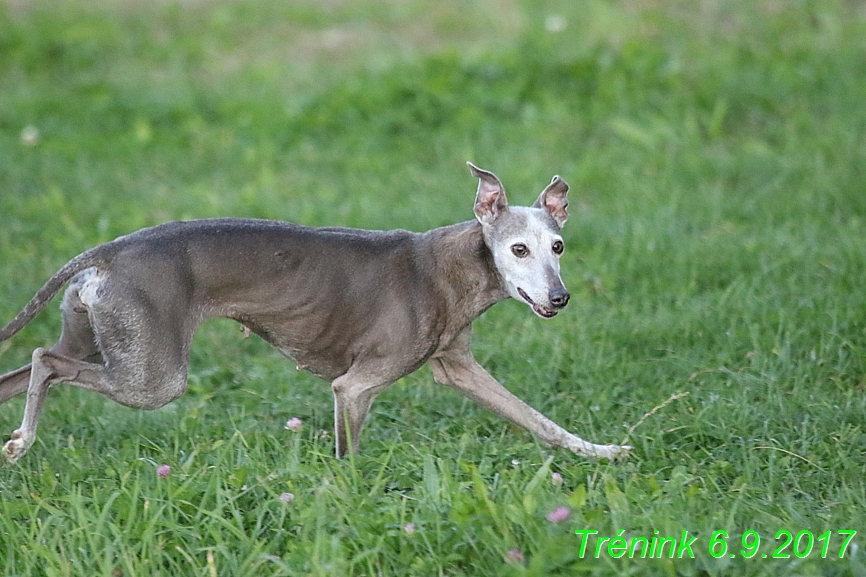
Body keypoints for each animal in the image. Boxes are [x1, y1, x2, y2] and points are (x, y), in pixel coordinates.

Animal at [0, 162, 624, 464]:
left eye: (558, 246)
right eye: (518, 249)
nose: (560, 297)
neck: (451, 265)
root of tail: (109, 251)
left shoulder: (458, 368)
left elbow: (539, 422)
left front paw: (603, 452)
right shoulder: (354, 387)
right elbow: (348, 459)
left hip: (100, 337)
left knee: (28, 367)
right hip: (153, 376)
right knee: (45, 359)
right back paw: (21, 442)